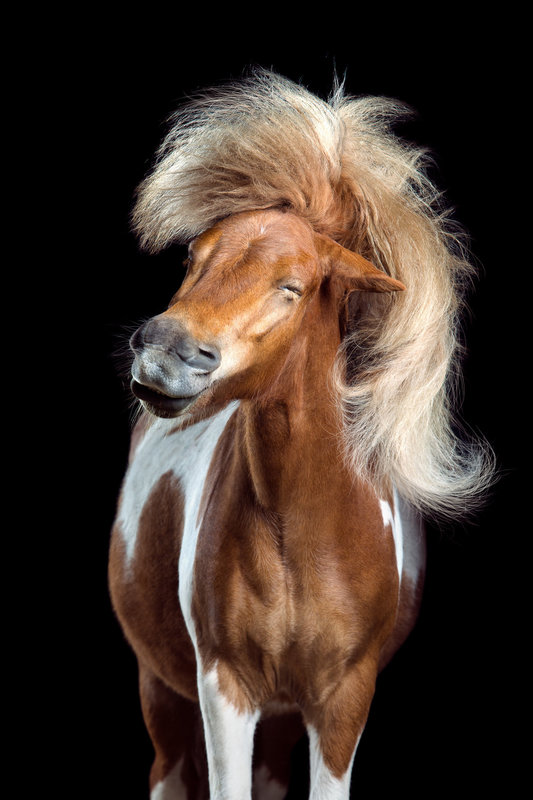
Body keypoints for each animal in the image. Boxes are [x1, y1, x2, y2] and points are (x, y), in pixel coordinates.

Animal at [109, 70, 493, 799]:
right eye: (195, 258)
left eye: (290, 286)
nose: (164, 354)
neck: (300, 533)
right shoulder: (224, 688)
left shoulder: (342, 702)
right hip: (159, 688)